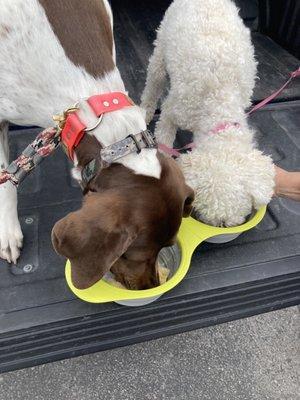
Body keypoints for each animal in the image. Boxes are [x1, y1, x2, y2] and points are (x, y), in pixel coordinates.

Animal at [142, 0, 276, 227]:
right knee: (154, 82)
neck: (220, 104)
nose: (217, 227)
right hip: (161, 49)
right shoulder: (172, 113)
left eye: (228, 223)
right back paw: (145, 111)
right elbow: (165, 141)